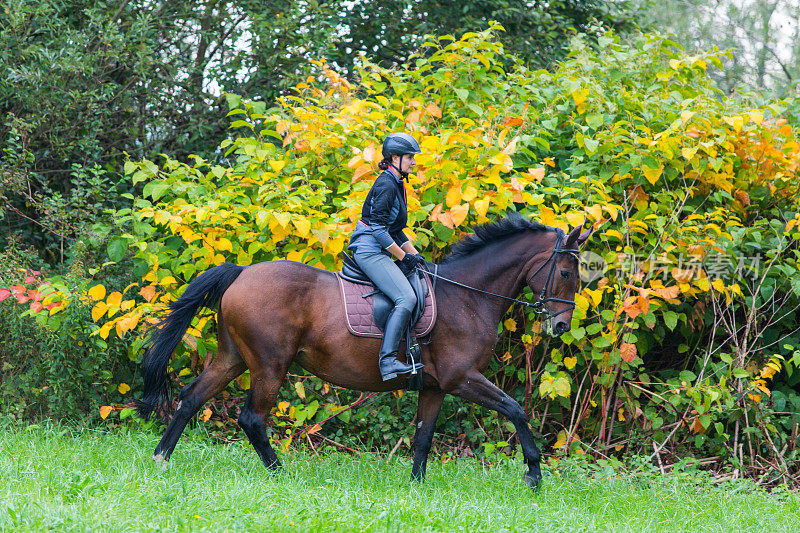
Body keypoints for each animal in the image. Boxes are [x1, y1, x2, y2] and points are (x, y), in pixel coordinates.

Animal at [136, 214, 588, 488]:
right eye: (567, 272)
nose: (562, 326)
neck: (468, 296)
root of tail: (242, 272)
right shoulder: (463, 379)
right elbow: (516, 409)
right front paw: (533, 475)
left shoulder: (436, 386)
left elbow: (423, 438)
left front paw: (416, 488)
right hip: (269, 365)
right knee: (252, 419)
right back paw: (281, 474)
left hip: (232, 359)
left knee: (191, 398)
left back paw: (160, 459)